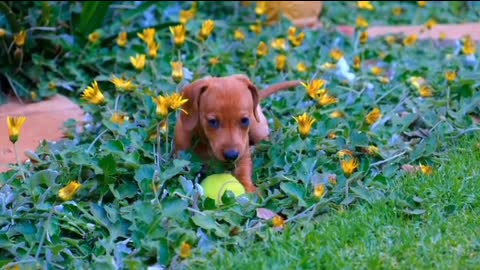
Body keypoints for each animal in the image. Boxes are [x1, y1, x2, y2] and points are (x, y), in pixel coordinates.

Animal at [172, 74, 300, 192]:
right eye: (212, 121)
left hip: (258, 129)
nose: (232, 156)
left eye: (245, 120)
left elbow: (243, 171)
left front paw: (250, 190)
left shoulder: (242, 154)